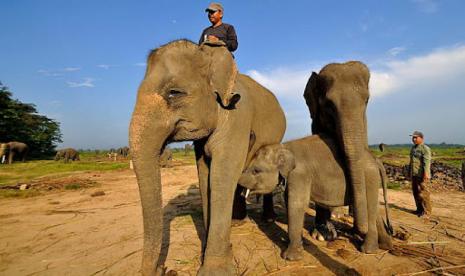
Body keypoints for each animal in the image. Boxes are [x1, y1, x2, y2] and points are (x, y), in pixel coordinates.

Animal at [129, 40, 284, 274]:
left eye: (174, 93)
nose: (166, 269)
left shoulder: (237, 116)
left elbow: (222, 176)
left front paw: (215, 270)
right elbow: (205, 177)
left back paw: (267, 218)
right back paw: (237, 221)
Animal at [239, 135, 392, 260]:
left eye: (256, 171)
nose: (240, 184)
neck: (283, 147)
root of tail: (375, 159)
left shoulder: (299, 174)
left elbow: (297, 204)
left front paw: (290, 258)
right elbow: (289, 202)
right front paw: (297, 243)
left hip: (369, 177)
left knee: (370, 207)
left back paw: (368, 250)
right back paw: (384, 245)